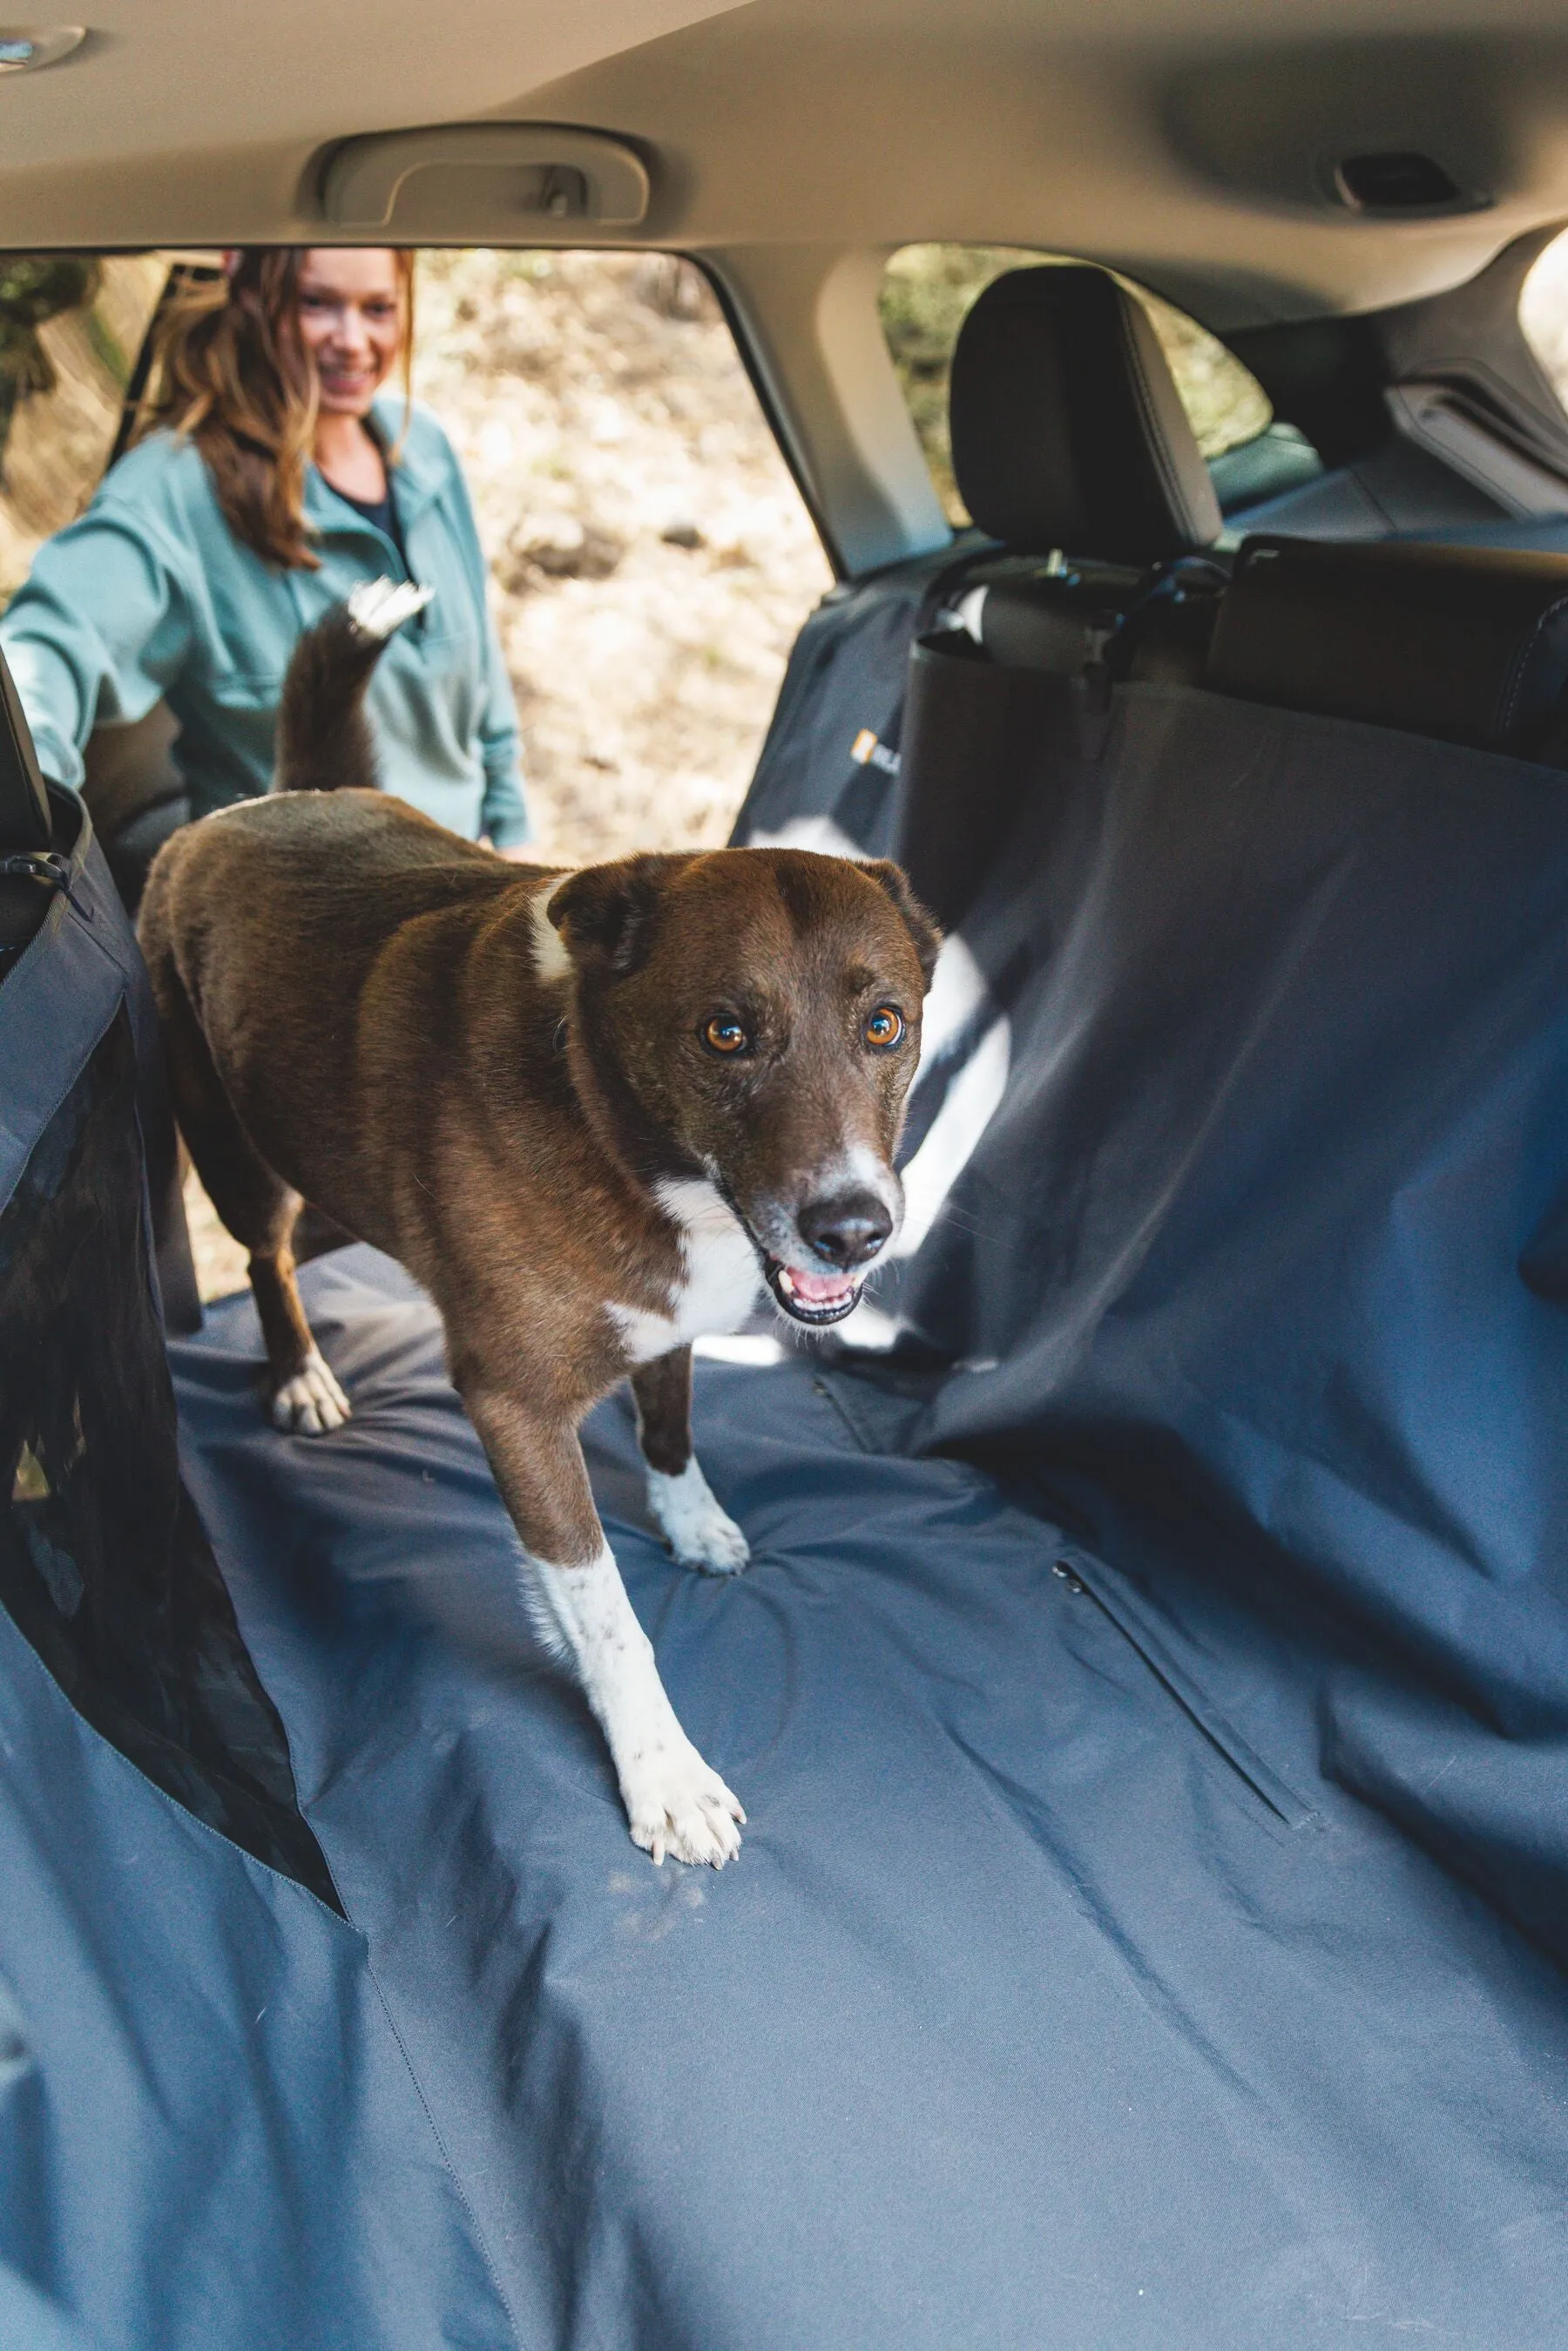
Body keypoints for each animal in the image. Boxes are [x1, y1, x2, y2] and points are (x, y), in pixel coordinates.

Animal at [140, 587, 940, 1871]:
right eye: (725, 1031)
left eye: (886, 1023)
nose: (853, 1230)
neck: (617, 1127)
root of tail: (273, 796)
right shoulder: (515, 1407)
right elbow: (607, 1614)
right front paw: (663, 1771)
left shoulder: (670, 1325)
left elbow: (670, 1428)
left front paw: (695, 1520)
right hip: (230, 1142)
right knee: (267, 1254)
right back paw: (301, 1374)